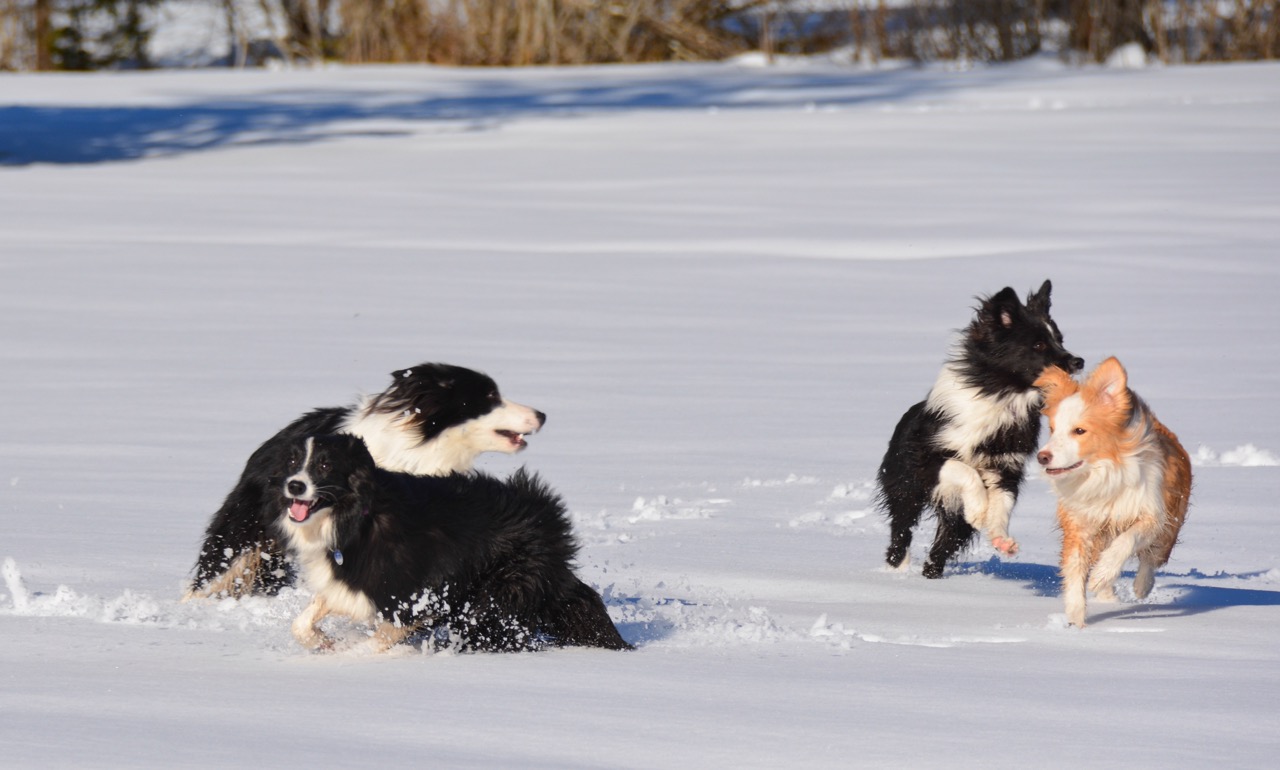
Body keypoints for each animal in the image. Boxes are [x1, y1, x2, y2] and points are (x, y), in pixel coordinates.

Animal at [273, 434, 629, 649]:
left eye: (324, 465)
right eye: (292, 463)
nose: (294, 486)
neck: (359, 516)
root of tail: (547, 513)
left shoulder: (416, 596)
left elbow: (373, 644)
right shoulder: (359, 584)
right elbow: (302, 622)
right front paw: (323, 642)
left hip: (499, 592)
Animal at [880, 278, 1080, 573]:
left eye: (1060, 339)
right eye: (1038, 345)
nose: (1079, 361)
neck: (1003, 396)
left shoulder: (1007, 464)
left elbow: (1004, 500)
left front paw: (1001, 538)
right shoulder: (926, 459)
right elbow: (964, 469)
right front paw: (977, 509)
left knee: (943, 545)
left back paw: (930, 572)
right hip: (906, 486)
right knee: (901, 529)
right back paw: (897, 567)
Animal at [1034, 355, 1192, 626]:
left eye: (1079, 430)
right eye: (1052, 429)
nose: (1042, 457)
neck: (1102, 473)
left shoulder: (1152, 514)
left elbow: (1127, 540)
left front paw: (1102, 573)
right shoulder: (1080, 522)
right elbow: (1074, 569)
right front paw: (1075, 620)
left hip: (1171, 523)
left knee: (1151, 558)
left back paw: (1141, 586)